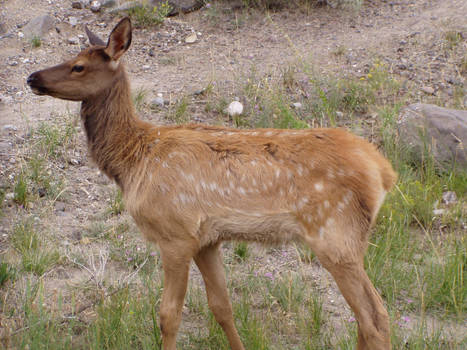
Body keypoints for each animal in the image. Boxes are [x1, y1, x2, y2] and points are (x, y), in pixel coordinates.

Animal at [27, 17, 396, 350]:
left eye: (78, 66)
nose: (32, 77)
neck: (133, 161)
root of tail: (384, 170)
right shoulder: (207, 239)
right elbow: (222, 307)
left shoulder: (175, 233)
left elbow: (168, 316)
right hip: (349, 240)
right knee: (368, 317)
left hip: (334, 234)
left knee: (374, 318)